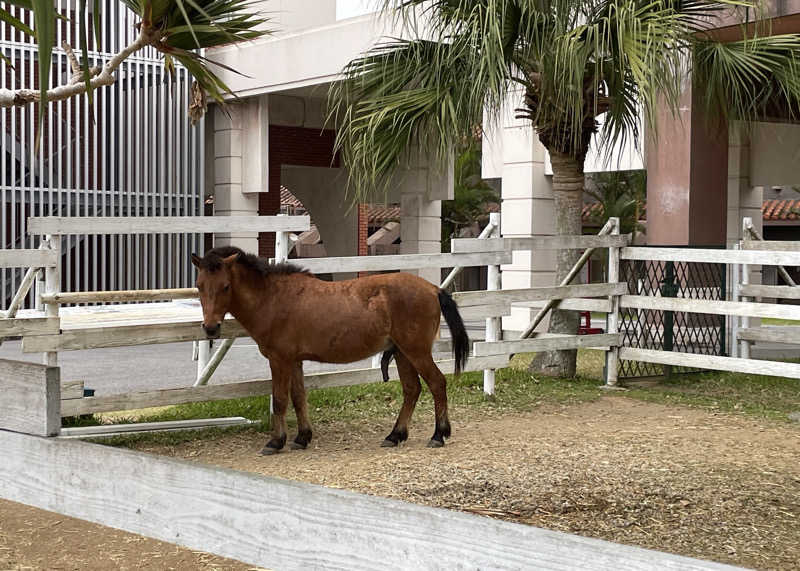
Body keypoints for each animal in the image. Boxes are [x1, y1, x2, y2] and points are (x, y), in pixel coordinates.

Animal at [191, 246, 468, 456]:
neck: (273, 297)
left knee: (437, 383)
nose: (211, 328)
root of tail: (433, 289)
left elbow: (280, 400)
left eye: (225, 286)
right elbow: (298, 398)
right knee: (412, 390)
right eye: (199, 286)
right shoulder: (295, 361)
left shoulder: (280, 360)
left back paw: (438, 434)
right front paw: (302, 437)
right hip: (402, 353)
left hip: (416, 351)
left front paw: (276, 441)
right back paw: (395, 435)